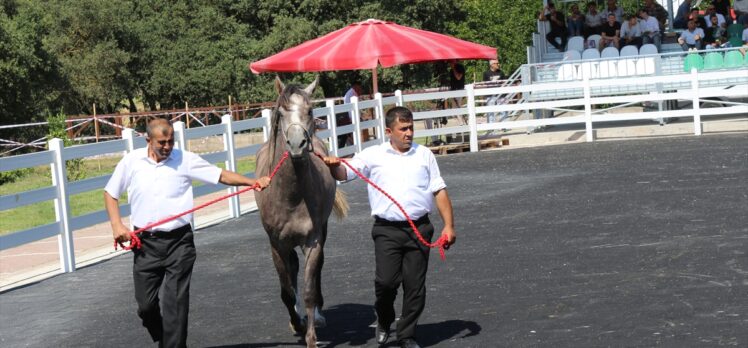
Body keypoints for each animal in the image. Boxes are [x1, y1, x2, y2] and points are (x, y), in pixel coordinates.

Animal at [254, 77, 348, 346]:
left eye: (310, 110)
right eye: (282, 112)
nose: (297, 145)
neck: (290, 195)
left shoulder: (313, 242)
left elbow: (308, 290)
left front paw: (311, 334)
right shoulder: (276, 245)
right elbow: (287, 292)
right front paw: (296, 323)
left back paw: (317, 315)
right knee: (293, 270)